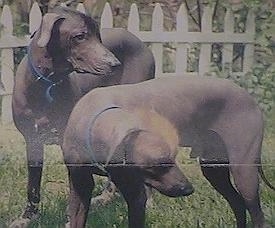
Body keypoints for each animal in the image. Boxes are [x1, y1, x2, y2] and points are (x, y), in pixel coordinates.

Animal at [11, 6, 155, 227]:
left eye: (99, 36)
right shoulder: (32, 140)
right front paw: (28, 216)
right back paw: (106, 196)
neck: (47, 85)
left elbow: (76, 192)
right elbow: (33, 184)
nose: (115, 63)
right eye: (80, 36)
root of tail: (140, 42)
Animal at [63, 76, 275, 228]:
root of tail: (248, 96)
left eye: (173, 158)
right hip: (214, 171)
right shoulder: (80, 186)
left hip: (244, 174)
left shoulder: (136, 196)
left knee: (257, 215)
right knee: (238, 205)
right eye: (157, 166)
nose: (188, 189)